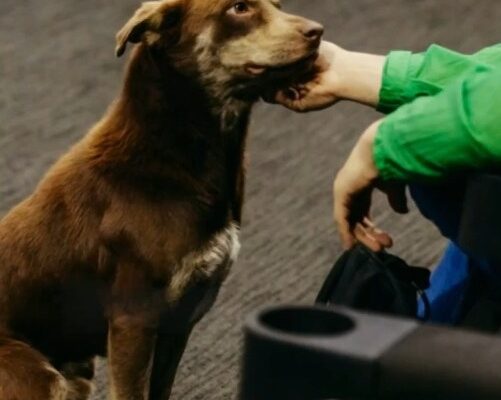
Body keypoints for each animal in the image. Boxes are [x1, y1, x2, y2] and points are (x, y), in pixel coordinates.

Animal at [0, 1, 322, 398]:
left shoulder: (178, 322)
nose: (317, 31)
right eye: (239, 8)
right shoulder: (133, 322)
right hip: (39, 376)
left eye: (277, 5)